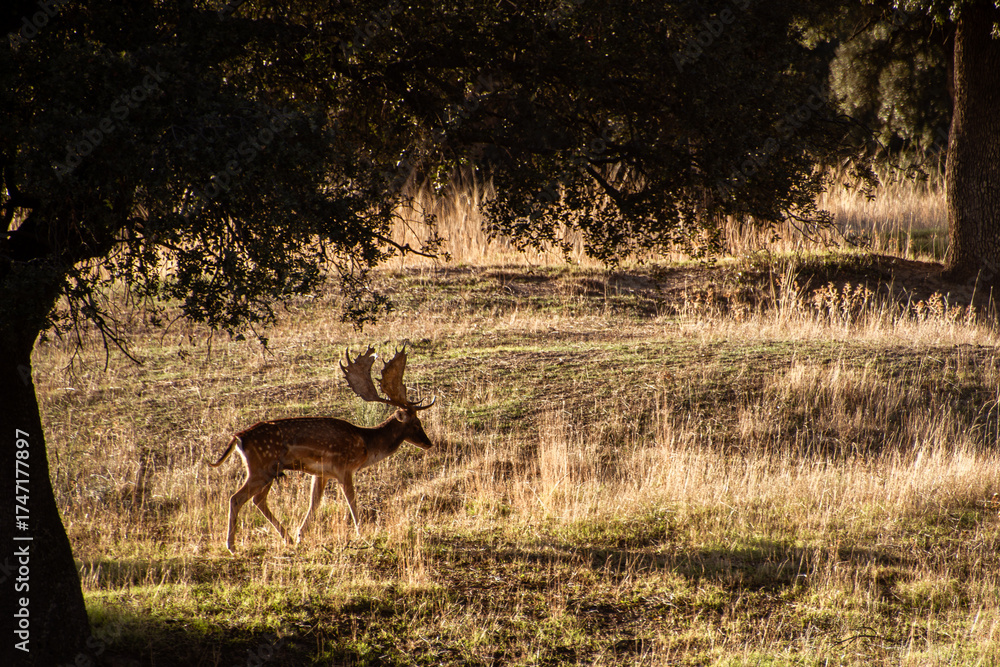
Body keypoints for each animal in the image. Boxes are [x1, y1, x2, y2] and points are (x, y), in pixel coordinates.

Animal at [210, 345, 435, 553]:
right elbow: (352, 501)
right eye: (416, 423)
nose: (429, 443)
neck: (366, 444)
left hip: (269, 471)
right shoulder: (344, 468)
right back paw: (232, 546)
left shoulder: (321, 473)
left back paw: (287, 538)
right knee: (236, 498)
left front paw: (300, 535)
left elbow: (314, 502)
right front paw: (361, 532)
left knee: (258, 500)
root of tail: (238, 438)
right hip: (261, 468)